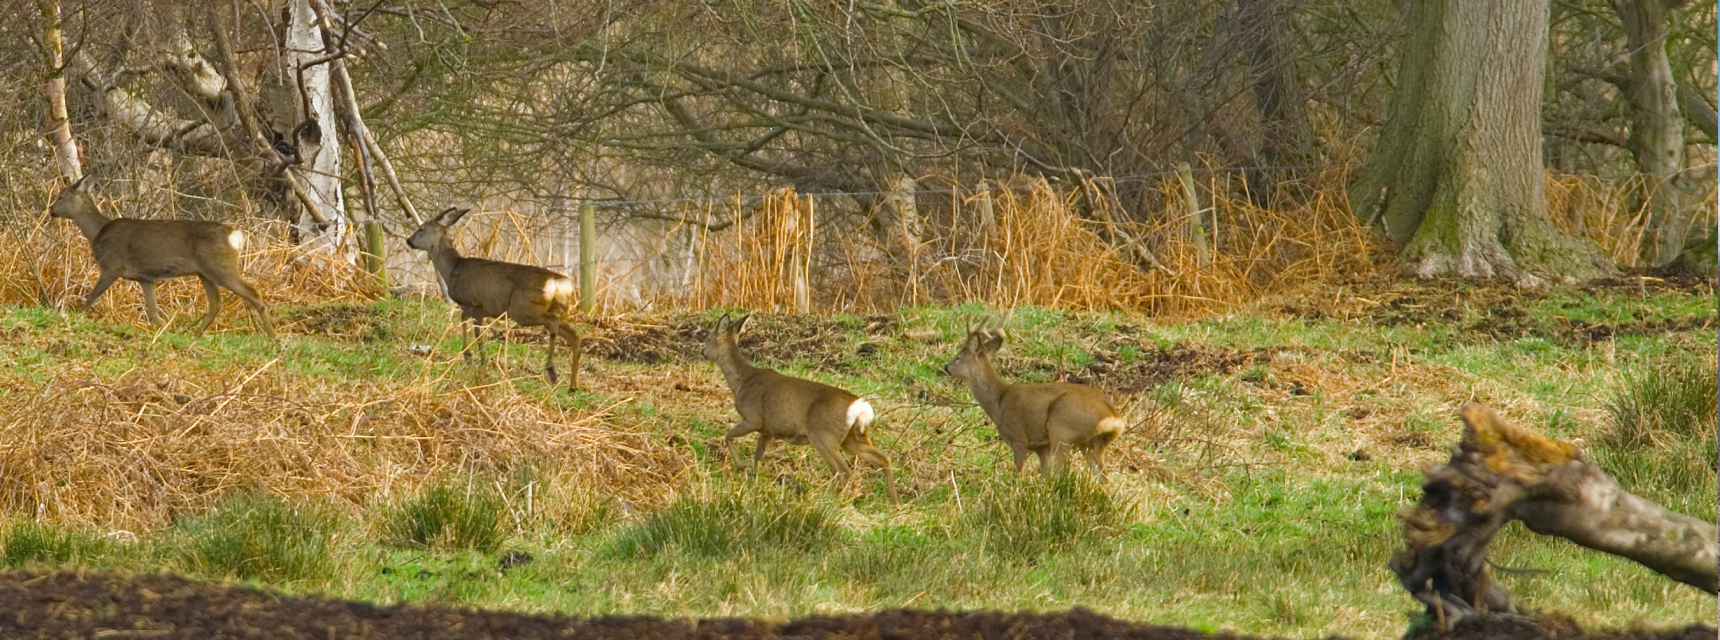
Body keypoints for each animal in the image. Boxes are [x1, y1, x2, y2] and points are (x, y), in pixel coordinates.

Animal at [45, 172, 273, 337]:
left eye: (60, 196)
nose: (51, 210)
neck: (98, 233)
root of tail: (235, 235)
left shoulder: (112, 265)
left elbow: (91, 297)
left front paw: (75, 318)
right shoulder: (145, 277)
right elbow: (153, 311)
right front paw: (164, 329)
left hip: (221, 266)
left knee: (253, 293)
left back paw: (273, 338)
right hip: (205, 272)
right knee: (216, 302)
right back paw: (195, 335)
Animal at [409, 209, 584, 390]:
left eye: (421, 229)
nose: (409, 241)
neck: (453, 270)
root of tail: (558, 283)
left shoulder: (476, 304)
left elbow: (478, 333)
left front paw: (482, 360)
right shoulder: (468, 306)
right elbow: (463, 321)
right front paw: (467, 354)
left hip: (523, 308)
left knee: (553, 322)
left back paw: (551, 369)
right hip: (555, 309)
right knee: (574, 335)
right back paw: (572, 385)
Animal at [705, 314, 908, 505]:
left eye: (708, 338)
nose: (702, 352)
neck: (742, 382)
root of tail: (860, 406)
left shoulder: (752, 418)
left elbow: (728, 436)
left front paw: (741, 468)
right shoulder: (768, 430)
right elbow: (757, 457)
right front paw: (753, 481)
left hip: (823, 435)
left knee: (844, 470)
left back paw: (831, 500)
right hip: (851, 438)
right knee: (883, 459)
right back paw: (895, 504)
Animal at [942, 318, 1128, 478]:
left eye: (958, 357)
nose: (946, 367)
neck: (998, 402)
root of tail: (1113, 416)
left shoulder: (1019, 438)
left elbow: (1017, 474)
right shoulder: (1042, 446)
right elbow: (1044, 475)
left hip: (1062, 430)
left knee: (1060, 474)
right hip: (1092, 445)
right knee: (1103, 478)